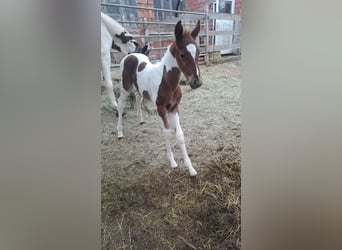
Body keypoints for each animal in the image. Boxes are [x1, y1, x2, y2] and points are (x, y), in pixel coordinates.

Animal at [117, 20, 203, 176]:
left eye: (198, 53)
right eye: (182, 55)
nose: (196, 82)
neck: (168, 82)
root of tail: (131, 54)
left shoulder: (174, 107)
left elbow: (179, 135)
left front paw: (191, 168)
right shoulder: (161, 108)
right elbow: (167, 132)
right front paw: (172, 161)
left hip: (139, 89)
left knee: (138, 98)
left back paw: (141, 120)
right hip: (125, 87)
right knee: (120, 104)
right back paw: (119, 132)